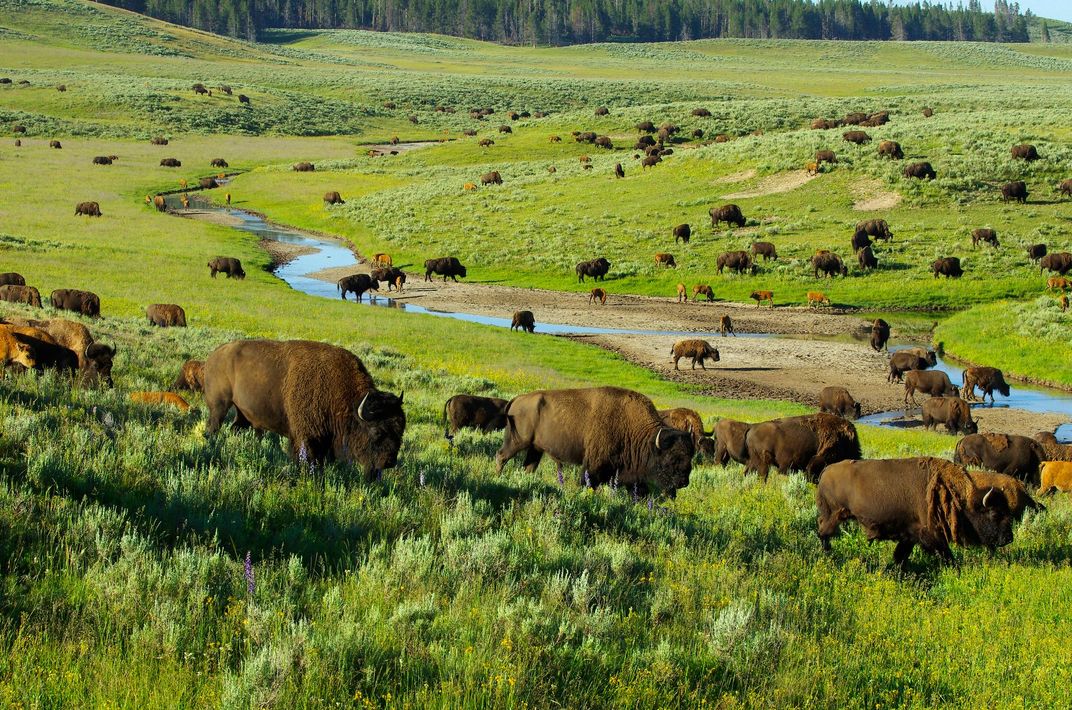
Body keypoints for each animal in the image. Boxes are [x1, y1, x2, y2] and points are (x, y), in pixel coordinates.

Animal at [204, 339, 405, 478]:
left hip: (242, 414)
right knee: (213, 427)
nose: (389, 462)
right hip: (219, 406)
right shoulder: (307, 438)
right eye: (377, 432)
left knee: (235, 428)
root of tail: (214, 355)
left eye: (400, 431)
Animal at [494, 386, 694, 495]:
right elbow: (588, 483)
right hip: (517, 442)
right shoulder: (593, 466)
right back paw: (497, 478)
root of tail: (516, 399)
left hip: (535, 448)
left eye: (689, 458)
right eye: (669, 460)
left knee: (528, 466)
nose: (683, 482)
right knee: (501, 456)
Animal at [817, 457, 1015, 566]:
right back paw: (828, 555)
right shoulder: (931, 535)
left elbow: (901, 555)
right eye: (995, 514)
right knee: (823, 533)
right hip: (832, 515)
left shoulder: (909, 537)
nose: (1008, 539)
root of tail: (826, 470)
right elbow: (946, 555)